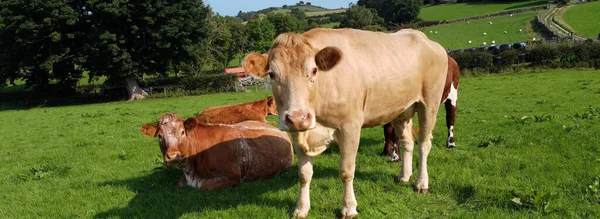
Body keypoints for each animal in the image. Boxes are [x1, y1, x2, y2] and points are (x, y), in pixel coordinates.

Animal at [139, 113, 292, 190]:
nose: (173, 156)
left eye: (182, 132)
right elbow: (180, 183)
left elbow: (204, 187)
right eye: (160, 136)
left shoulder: (232, 176)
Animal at [243, 28, 446, 218]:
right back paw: (404, 176)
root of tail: (425, 39)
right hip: (402, 109)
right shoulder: (298, 134)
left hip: (429, 104)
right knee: (408, 142)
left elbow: (346, 171)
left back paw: (421, 183)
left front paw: (349, 208)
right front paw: (301, 208)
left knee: (424, 144)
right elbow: (304, 174)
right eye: (272, 74)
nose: (298, 117)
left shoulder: (350, 127)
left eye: (314, 70)